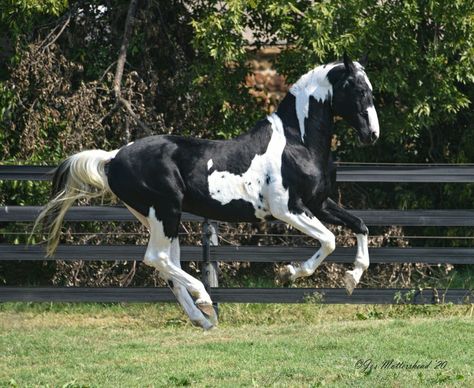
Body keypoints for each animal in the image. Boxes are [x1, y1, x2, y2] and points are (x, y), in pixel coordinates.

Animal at [36, 53, 378, 328]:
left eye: (371, 90)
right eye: (359, 90)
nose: (372, 134)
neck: (297, 142)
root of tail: (113, 157)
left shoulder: (318, 203)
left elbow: (360, 226)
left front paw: (352, 278)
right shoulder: (287, 209)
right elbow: (330, 240)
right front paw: (288, 273)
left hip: (159, 219)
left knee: (167, 266)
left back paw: (203, 318)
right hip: (166, 211)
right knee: (157, 258)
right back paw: (204, 300)